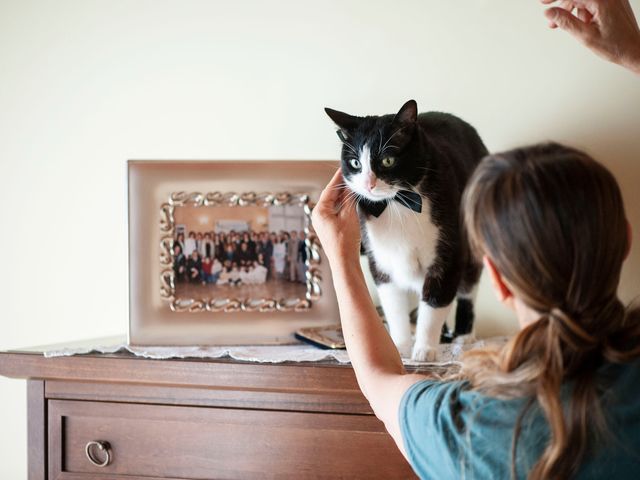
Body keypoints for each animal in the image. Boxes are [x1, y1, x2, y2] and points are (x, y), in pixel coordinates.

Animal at [324, 100, 490, 360]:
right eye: (355, 163)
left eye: (388, 160)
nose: (369, 184)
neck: (397, 205)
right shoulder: (379, 256)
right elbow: (393, 306)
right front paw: (400, 347)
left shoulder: (449, 252)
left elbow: (435, 301)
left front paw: (424, 350)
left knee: (467, 287)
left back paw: (463, 337)